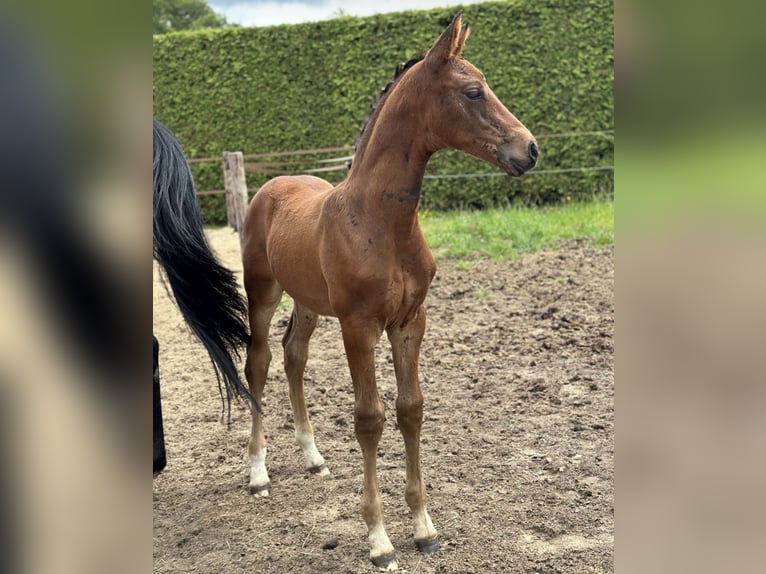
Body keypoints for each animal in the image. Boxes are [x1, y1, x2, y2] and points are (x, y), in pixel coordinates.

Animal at [243, 13, 536, 572]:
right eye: (473, 91)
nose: (529, 149)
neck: (381, 220)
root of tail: (271, 184)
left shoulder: (410, 321)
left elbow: (410, 409)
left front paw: (423, 528)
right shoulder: (359, 325)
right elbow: (370, 418)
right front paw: (379, 539)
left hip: (308, 303)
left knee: (294, 357)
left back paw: (312, 457)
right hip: (263, 293)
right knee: (259, 363)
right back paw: (257, 473)